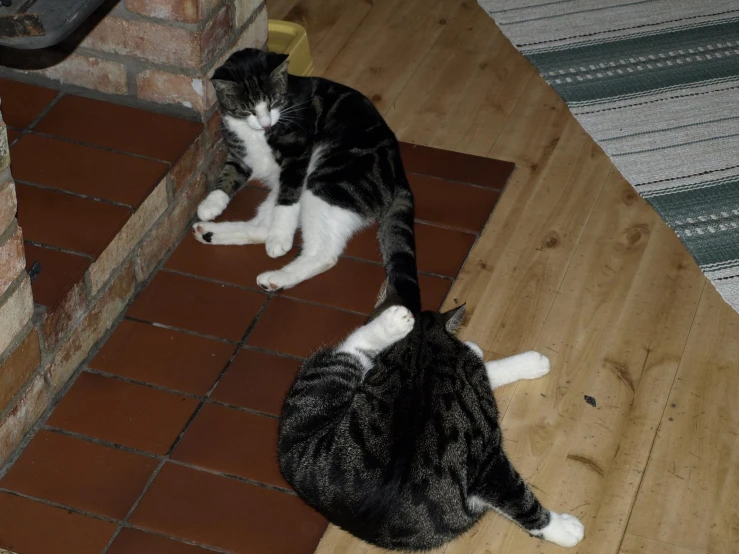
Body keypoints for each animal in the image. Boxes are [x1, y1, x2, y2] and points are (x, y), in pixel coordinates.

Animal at [280, 284, 588, 548]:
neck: (422, 350)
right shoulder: (485, 454)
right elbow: (517, 498)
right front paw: (562, 528)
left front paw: (530, 363)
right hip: (317, 392)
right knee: (351, 349)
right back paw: (392, 324)